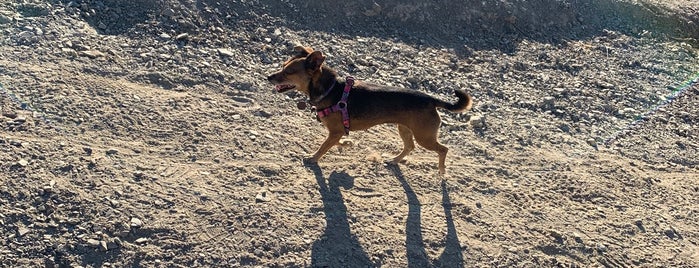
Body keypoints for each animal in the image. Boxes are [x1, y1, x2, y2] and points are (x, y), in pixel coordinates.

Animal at [266, 46, 474, 174]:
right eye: (282, 66)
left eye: (289, 72)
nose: (269, 77)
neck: (330, 89)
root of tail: (431, 100)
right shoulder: (338, 131)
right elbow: (337, 142)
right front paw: (346, 145)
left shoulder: (335, 131)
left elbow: (324, 146)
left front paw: (313, 158)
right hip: (405, 129)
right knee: (410, 146)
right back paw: (394, 160)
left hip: (424, 136)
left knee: (443, 149)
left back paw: (441, 172)